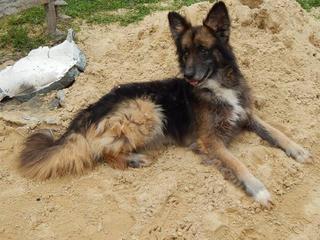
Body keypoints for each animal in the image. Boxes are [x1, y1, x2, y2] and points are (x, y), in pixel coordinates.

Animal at [19, 1, 310, 206]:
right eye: (185, 52)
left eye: (203, 50)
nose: (188, 75)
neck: (217, 84)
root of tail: (88, 112)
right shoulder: (209, 140)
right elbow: (238, 164)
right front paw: (259, 190)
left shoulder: (246, 113)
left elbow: (275, 131)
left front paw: (297, 149)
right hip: (147, 109)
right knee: (102, 152)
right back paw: (135, 159)